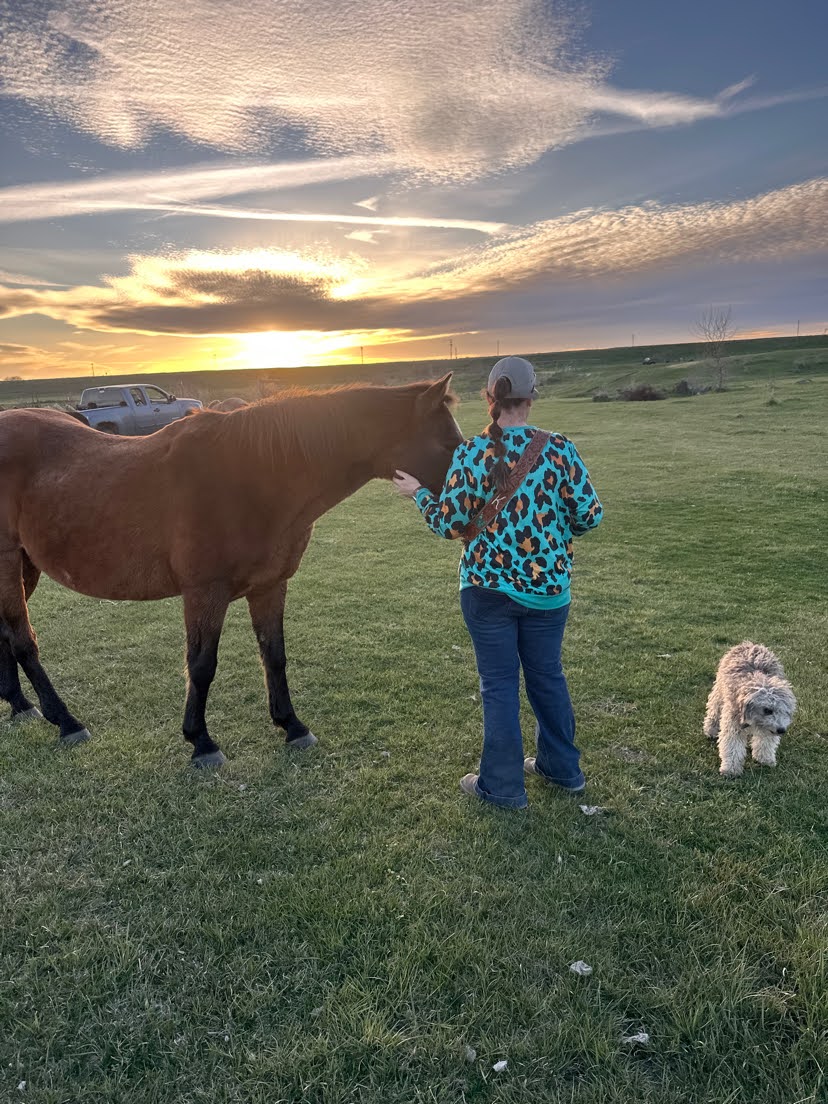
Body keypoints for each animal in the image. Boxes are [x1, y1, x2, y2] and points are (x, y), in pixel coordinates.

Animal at [0, 374, 461, 766]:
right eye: (448, 444)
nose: (472, 510)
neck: (251, 475)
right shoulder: (205, 593)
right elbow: (202, 665)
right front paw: (201, 742)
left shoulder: (270, 586)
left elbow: (273, 654)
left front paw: (292, 726)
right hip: (8, 564)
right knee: (23, 640)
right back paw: (65, 721)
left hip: (25, 567)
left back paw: (20, 705)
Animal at [704, 642, 796, 776]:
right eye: (767, 710)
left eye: (785, 711)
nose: (781, 730)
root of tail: (748, 643)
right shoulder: (733, 724)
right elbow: (732, 747)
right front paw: (731, 769)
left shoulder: (769, 729)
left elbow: (765, 743)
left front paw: (765, 759)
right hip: (719, 692)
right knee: (714, 710)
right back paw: (710, 729)